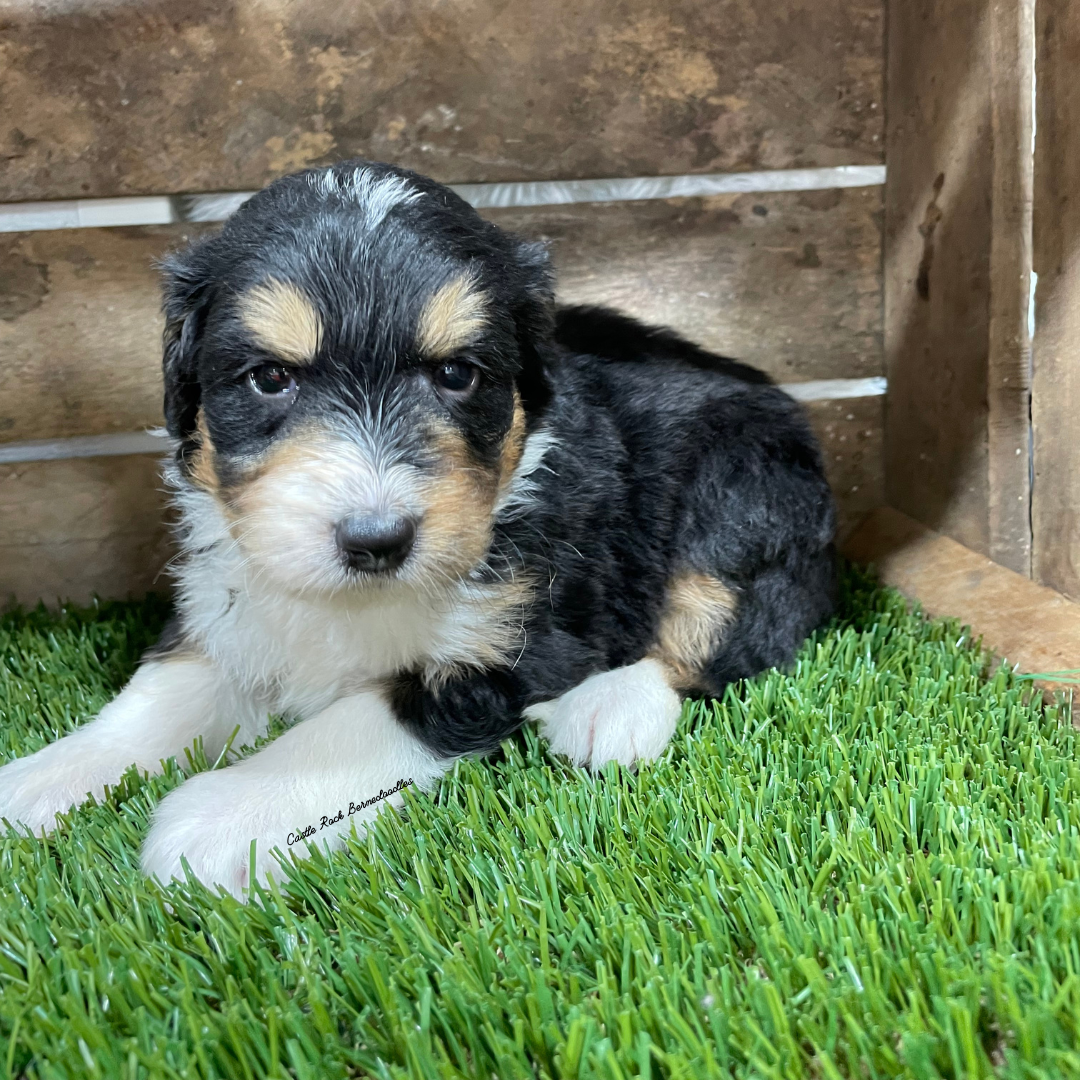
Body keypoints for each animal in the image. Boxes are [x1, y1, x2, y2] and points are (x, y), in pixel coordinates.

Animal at [0, 159, 833, 898]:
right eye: (270, 378)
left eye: (457, 374)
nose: (377, 540)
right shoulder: (232, 598)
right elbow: (159, 692)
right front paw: (44, 778)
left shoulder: (517, 643)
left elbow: (351, 722)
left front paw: (223, 816)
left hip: (746, 485)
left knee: (729, 628)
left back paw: (611, 709)